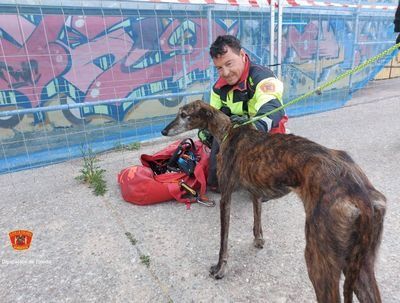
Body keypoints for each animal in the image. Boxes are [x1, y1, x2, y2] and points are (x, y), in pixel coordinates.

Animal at [161, 100, 386, 303]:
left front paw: (220, 268)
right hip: (360, 266)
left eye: (183, 114)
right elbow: (257, 217)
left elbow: (223, 240)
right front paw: (258, 240)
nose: (163, 131)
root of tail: (360, 196)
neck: (228, 131)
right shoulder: (256, 192)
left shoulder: (226, 196)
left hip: (319, 260)